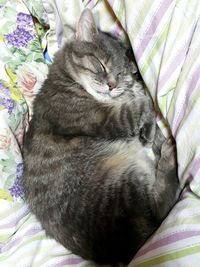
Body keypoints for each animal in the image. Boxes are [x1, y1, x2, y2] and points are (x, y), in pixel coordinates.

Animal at [21, 8, 180, 266]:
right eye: (100, 65)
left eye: (120, 73)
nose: (113, 85)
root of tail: (121, 253)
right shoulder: (105, 118)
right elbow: (141, 104)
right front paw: (146, 118)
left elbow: (138, 103)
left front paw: (148, 130)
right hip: (126, 178)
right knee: (160, 210)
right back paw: (169, 151)